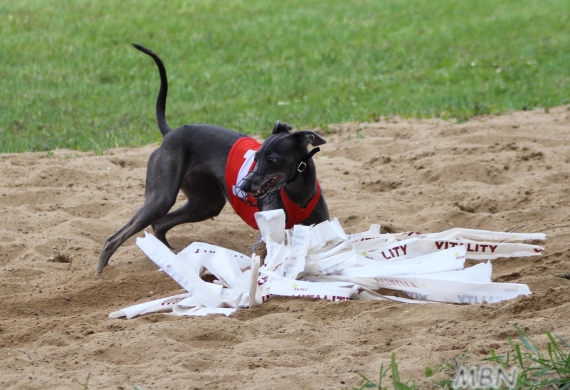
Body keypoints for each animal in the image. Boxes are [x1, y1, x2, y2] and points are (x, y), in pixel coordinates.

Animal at [96, 43, 328, 274]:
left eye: (270, 160)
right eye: (256, 157)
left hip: (206, 202)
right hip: (161, 198)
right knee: (115, 238)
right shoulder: (265, 237)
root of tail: (170, 133)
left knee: (160, 224)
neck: (297, 193)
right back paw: (101, 270)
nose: (243, 187)